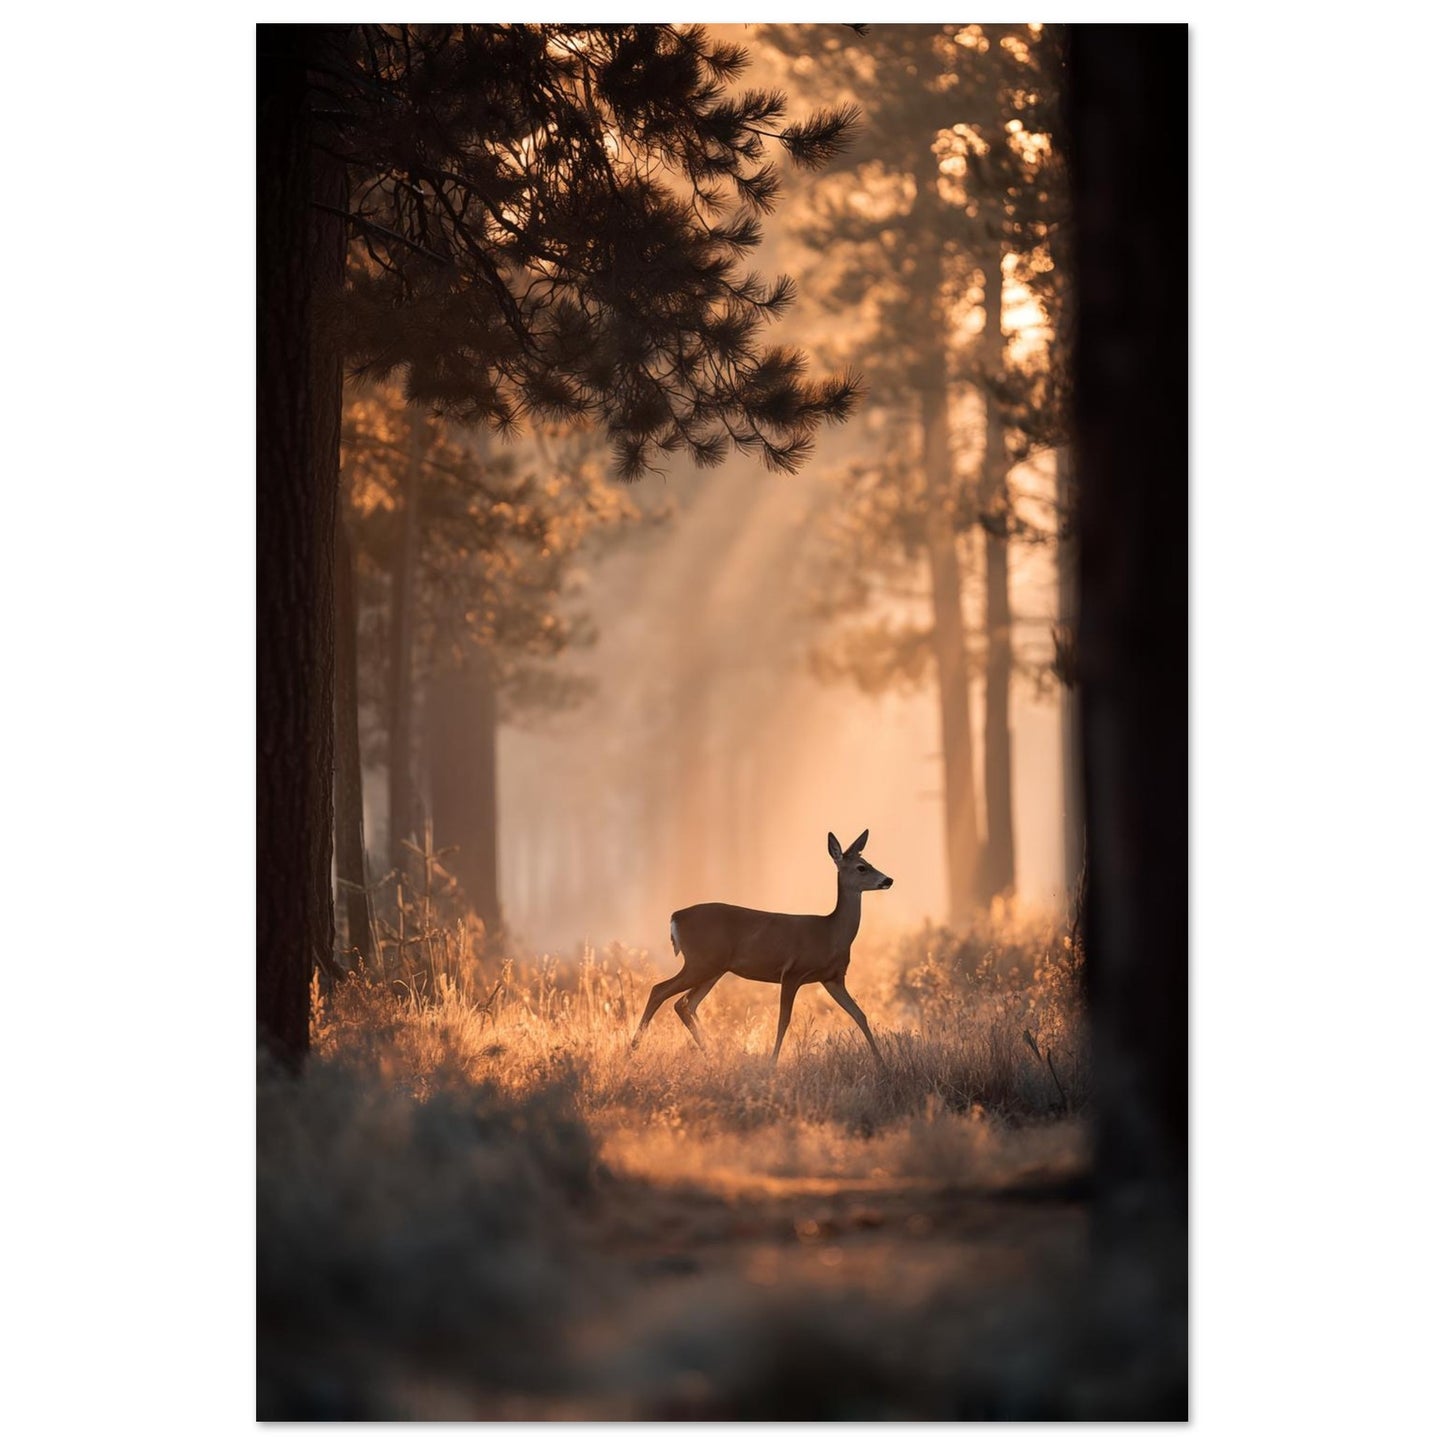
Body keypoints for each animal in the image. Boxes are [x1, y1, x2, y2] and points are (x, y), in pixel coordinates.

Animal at [630, 828, 893, 1065]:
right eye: (861, 867)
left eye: (868, 862)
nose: (888, 880)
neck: (830, 934)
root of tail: (675, 916)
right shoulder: (793, 972)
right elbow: (783, 1020)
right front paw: (772, 1064)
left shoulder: (832, 978)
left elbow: (859, 1015)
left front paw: (881, 1064)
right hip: (700, 962)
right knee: (659, 990)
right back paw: (633, 1049)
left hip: (712, 968)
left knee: (685, 1003)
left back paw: (711, 1054)